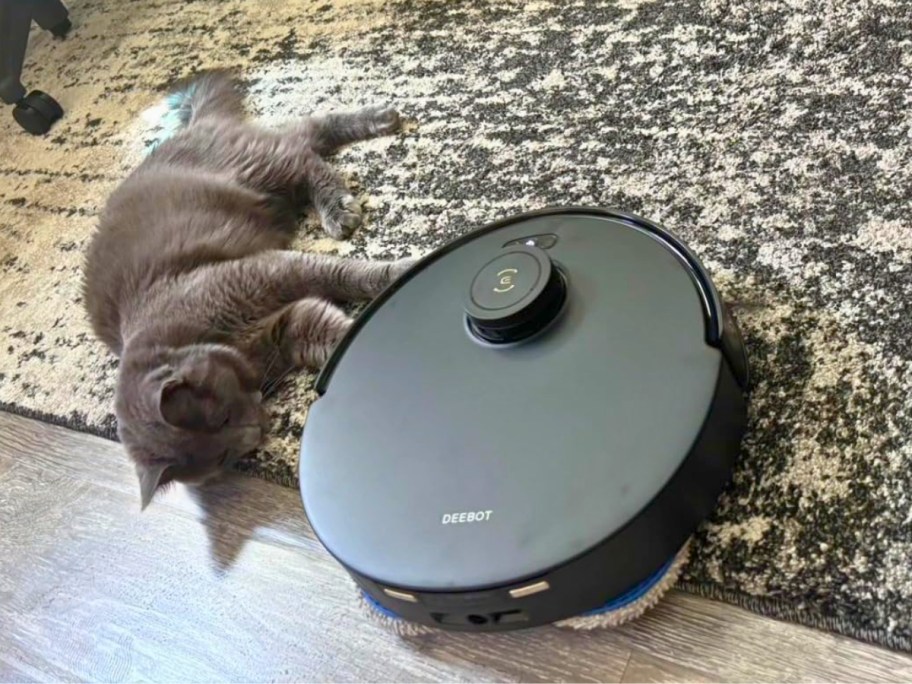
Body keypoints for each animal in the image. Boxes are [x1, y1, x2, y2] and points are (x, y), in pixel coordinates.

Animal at [83, 71, 412, 508]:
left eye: (222, 417)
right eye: (225, 456)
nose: (260, 431)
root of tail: (192, 125)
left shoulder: (273, 269)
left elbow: (346, 274)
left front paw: (402, 272)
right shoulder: (293, 323)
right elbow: (334, 334)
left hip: (256, 166)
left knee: (302, 146)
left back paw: (364, 155)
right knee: (304, 136)